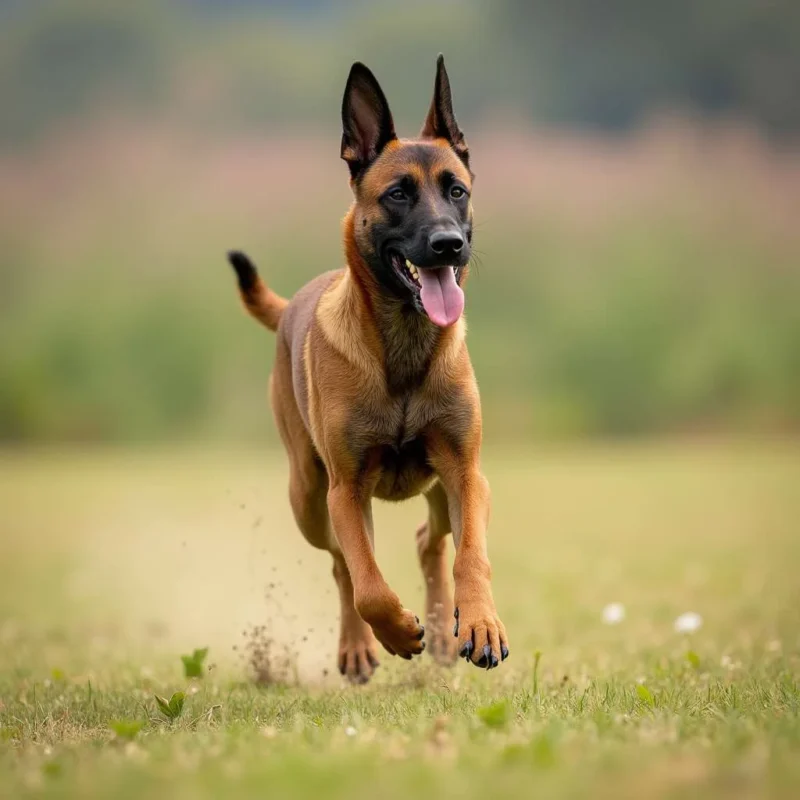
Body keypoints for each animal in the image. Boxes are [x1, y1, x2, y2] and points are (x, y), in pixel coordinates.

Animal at [228, 54, 510, 680]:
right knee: (344, 565)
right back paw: (360, 646)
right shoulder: (346, 489)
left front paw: (478, 623)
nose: (448, 244)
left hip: (437, 489)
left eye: (456, 190)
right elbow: (369, 585)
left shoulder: (466, 472)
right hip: (309, 497)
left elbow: (472, 557)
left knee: (431, 540)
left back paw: (444, 632)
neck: (404, 346)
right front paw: (395, 632)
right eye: (398, 194)